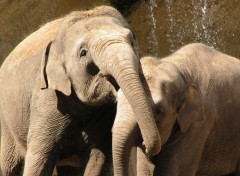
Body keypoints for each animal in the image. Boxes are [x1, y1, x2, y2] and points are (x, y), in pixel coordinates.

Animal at [0, 5, 161, 176]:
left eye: (133, 39)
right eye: (83, 53)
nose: (145, 145)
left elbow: (97, 159)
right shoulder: (47, 100)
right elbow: (39, 158)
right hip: (6, 121)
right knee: (10, 165)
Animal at [112, 43, 240, 176]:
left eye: (159, 111)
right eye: (116, 101)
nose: (145, 144)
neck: (179, 68)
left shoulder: (199, 125)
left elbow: (171, 171)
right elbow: (145, 170)